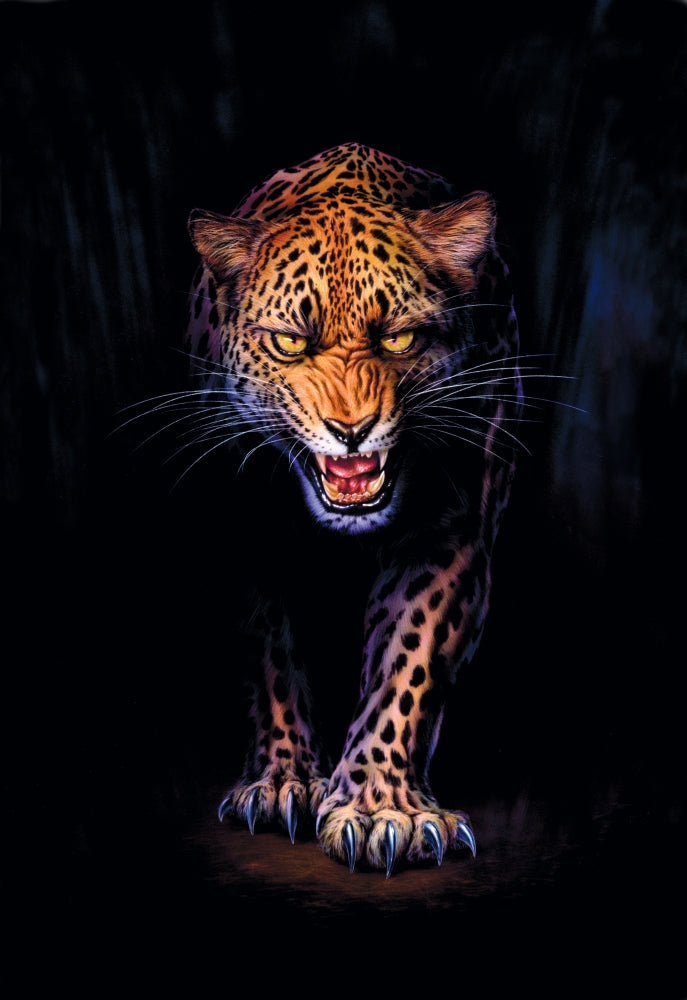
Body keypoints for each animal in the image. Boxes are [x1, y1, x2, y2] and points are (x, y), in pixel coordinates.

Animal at [184, 142, 522, 876]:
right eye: (290, 342)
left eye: (398, 339)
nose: (351, 429)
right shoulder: (245, 527)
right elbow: (269, 655)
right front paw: (281, 780)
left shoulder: (450, 530)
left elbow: (408, 656)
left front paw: (381, 808)